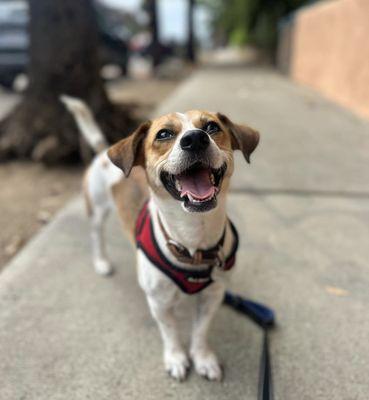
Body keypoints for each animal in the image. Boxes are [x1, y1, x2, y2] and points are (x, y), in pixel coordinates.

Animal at [61, 94, 258, 382]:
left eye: (212, 127)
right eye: (164, 134)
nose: (195, 139)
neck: (192, 239)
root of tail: (103, 151)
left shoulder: (213, 296)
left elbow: (200, 331)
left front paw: (203, 357)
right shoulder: (159, 303)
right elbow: (170, 332)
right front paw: (176, 358)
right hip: (96, 210)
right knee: (96, 235)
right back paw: (101, 262)